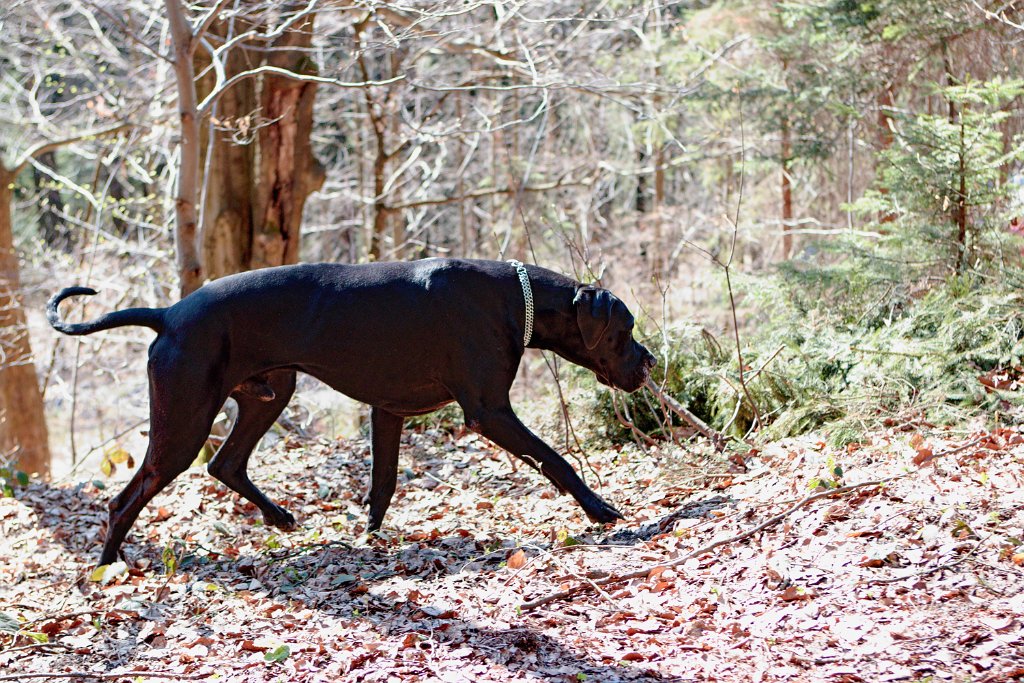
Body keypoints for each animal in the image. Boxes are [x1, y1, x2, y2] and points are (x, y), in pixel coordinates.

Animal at [48, 259, 655, 565]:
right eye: (625, 329)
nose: (649, 363)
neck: (513, 296)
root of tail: (169, 313)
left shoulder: (388, 412)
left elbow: (383, 483)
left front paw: (370, 538)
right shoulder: (489, 412)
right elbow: (556, 460)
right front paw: (601, 510)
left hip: (270, 393)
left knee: (226, 464)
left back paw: (279, 517)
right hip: (184, 423)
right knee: (125, 500)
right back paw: (106, 569)